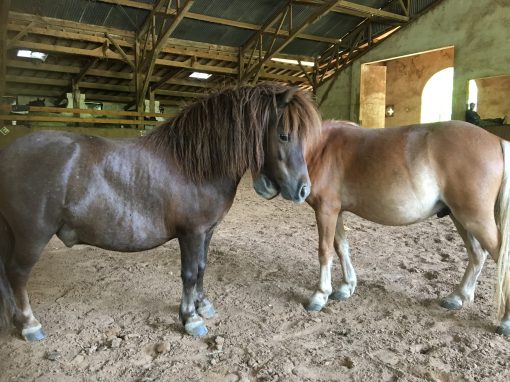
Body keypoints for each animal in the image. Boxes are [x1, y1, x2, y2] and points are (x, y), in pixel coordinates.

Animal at [0, 84, 320, 340]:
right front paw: (190, 319)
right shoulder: (191, 233)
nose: (303, 190)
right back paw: (29, 324)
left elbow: (202, 267)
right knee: (17, 273)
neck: (195, 165)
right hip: (32, 236)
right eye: (284, 135)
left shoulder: (207, 231)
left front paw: (203, 305)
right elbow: (189, 273)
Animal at [258, 119, 510, 334]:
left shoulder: (325, 210)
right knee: (477, 254)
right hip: (459, 217)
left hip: (474, 218)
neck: (322, 148)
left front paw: (320, 296)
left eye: (282, 136)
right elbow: (342, 248)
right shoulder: (335, 211)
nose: (263, 186)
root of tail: (496, 140)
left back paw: (505, 321)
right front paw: (347, 287)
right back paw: (458, 297)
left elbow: (325, 251)